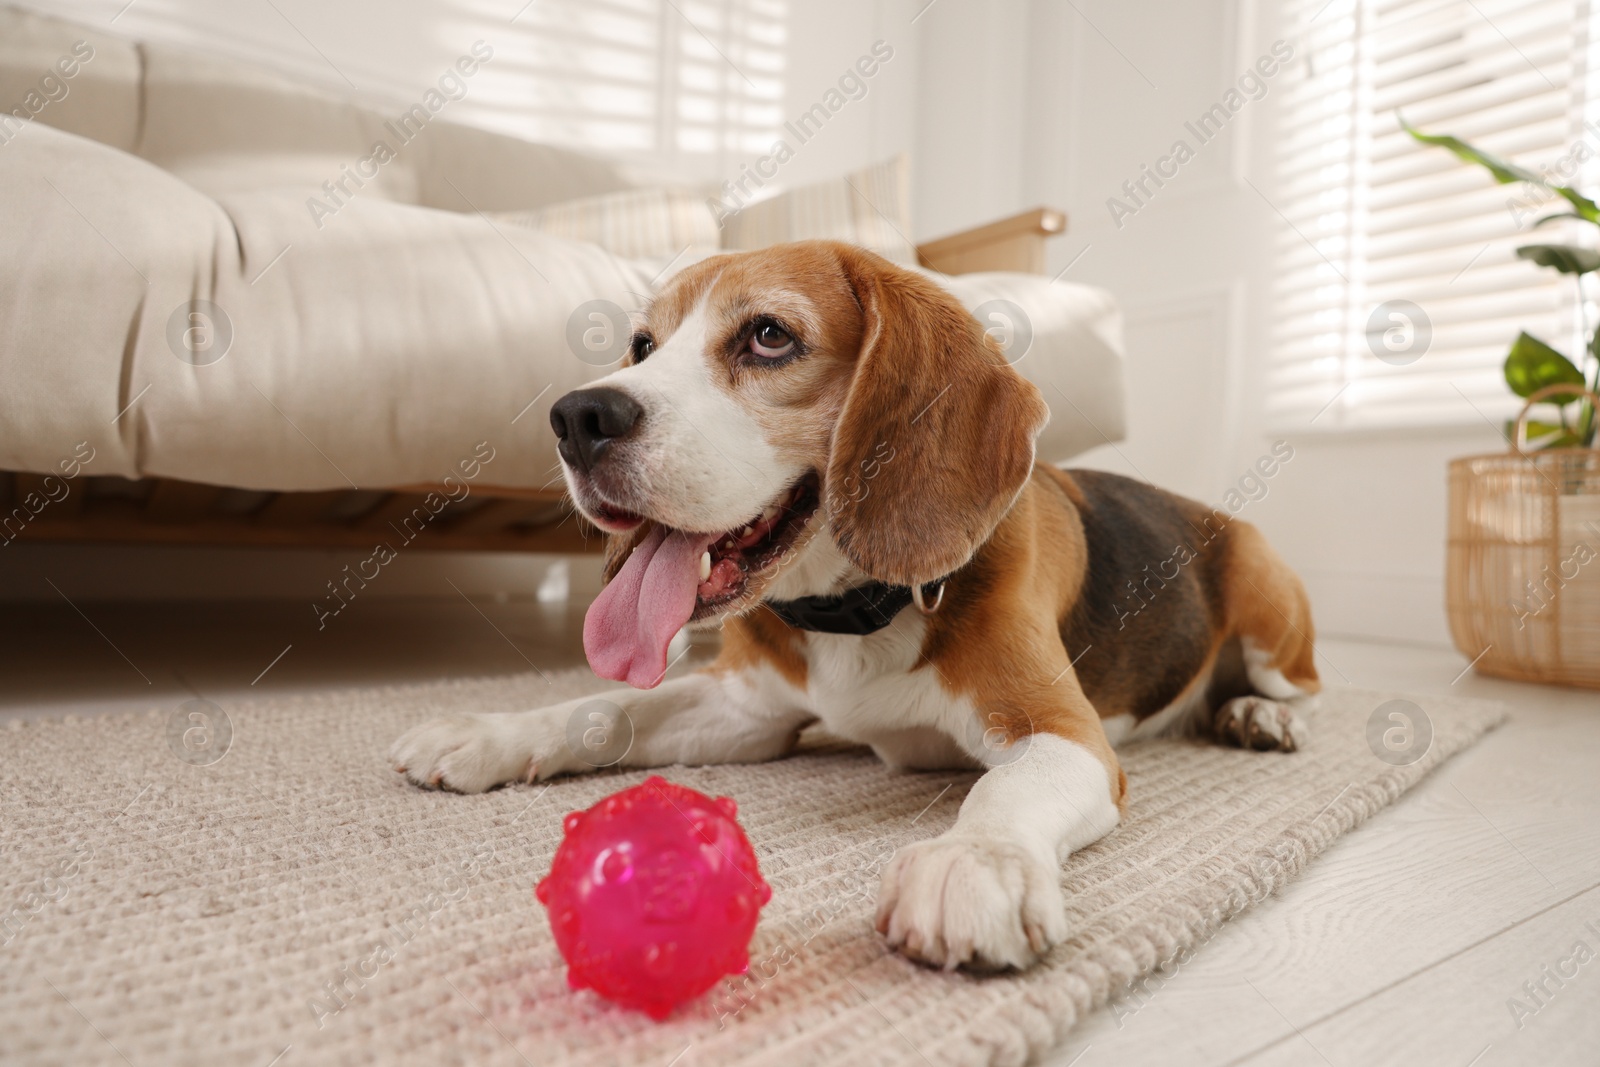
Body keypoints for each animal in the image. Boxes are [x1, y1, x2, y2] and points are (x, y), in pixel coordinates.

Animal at [393, 241, 1318, 979]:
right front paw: (486, 732)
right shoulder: (746, 711)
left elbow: (1004, 793)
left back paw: (1262, 717)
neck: (856, 607)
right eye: (642, 346)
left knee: (1300, 684)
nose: (577, 416)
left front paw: (971, 865)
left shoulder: (1062, 731)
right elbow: (605, 705)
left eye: (769, 335)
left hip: (1268, 602)